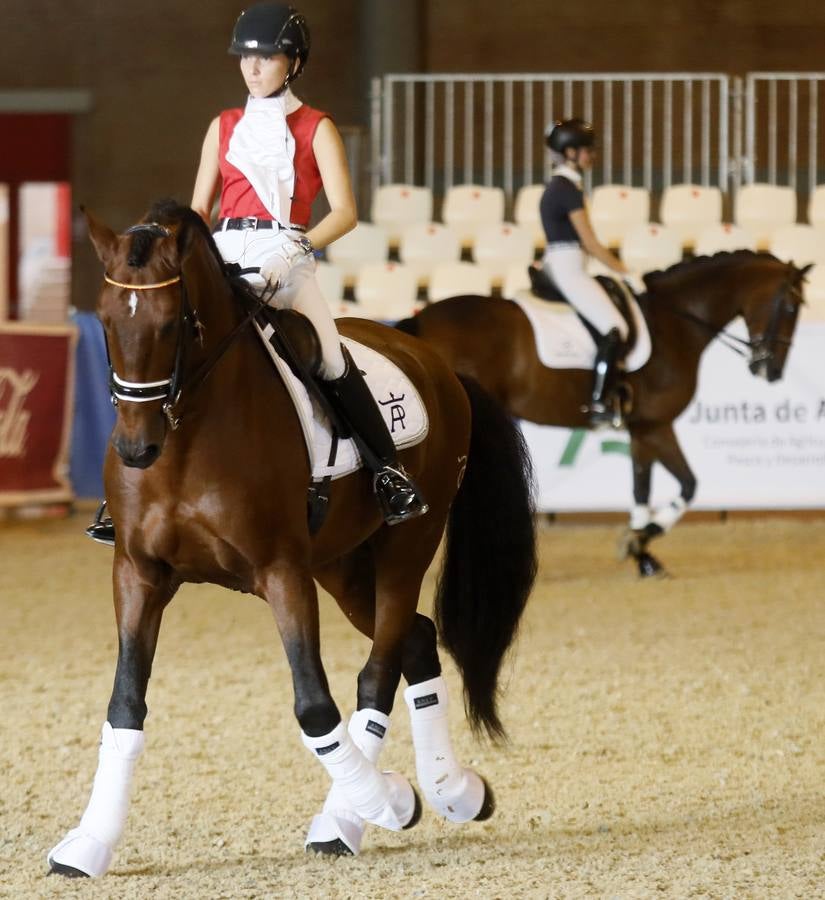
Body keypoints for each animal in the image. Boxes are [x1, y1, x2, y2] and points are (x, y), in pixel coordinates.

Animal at [46, 200, 536, 876]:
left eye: (173, 324)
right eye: (104, 319)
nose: (136, 448)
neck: (188, 439)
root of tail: (438, 365)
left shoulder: (282, 572)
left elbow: (314, 707)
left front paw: (389, 803)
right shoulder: (138, 572)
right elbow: (124, 708)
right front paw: (89, 842)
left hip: (406, 544)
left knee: (379, 669)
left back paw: (354, 816)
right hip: (341, 566)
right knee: (414, 640)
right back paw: (451, 791)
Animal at [398, 251, 804, 576]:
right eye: (790, 308)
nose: (772, 370)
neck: (675, 323)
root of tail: (420, 322)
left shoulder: (642, 429)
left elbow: (643, 487)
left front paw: (642, 552)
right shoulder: (657, 426)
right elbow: (688, 486)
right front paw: (642, 540)